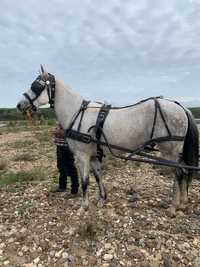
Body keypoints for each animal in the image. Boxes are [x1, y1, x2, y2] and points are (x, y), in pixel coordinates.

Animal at [16, 66, 198, 216]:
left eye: (36, 86)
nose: (19, 105)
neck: (77, 113)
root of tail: (181, 107)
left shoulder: (82, 156)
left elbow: (84, 182)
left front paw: (84, 207)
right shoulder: (93, 155)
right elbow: (98, 176)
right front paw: (102, 199)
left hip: (169, 151)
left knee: (178, 173)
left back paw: (174, 206)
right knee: (184, 171)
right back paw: (183, 202)